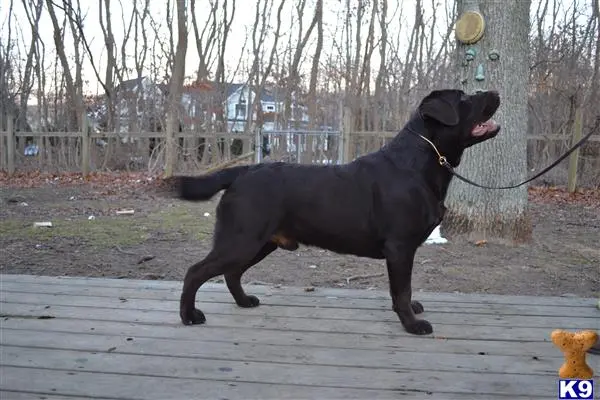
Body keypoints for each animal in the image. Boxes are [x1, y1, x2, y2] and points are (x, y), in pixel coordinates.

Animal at [170, 90, 502, 334]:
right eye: (465, 98)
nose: (496, 92)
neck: (423, 162)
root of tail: (242, 171)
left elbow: (404, 291)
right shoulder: (400, 247)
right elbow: (402, 291)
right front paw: (412, 324)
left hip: (259, 242)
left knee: (232, 272)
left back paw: (244, 301)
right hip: (242, 239)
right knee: (196, 271)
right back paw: (189, 315)